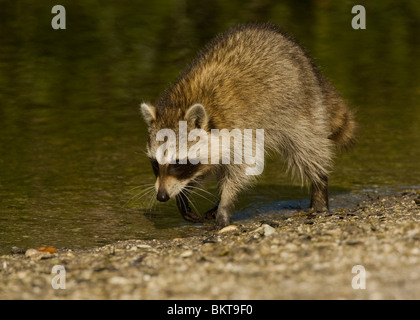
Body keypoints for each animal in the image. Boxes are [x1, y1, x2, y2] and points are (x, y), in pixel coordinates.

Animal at [140, 22, 354, 228]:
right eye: (155, 163)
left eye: (178, 163)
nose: (162, 196)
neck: (181, 103)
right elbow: (207, 168)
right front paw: (184, 194)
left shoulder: (241, 129)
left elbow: (243, 168)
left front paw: (224, 204)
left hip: (300, 107)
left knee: (307, 148)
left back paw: (319, 186)